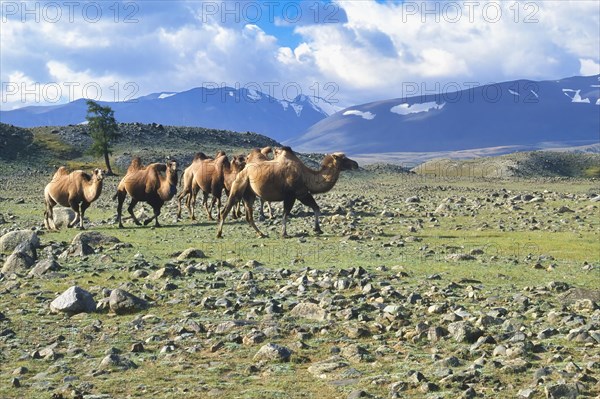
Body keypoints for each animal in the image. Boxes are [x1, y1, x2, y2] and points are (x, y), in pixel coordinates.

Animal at [216, 147, 356, 241]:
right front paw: (284, 233)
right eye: (344, 158)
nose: (356, 164)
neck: (306, 176)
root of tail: (243, 170)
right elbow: (285, 214)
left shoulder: (302, 194)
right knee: (226, 209)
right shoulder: (290, 196)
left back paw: (261, 233)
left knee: (249, 216)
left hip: (249, 194)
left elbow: (316, 208)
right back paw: (219, 233)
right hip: (238, 186)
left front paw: (318, 229)